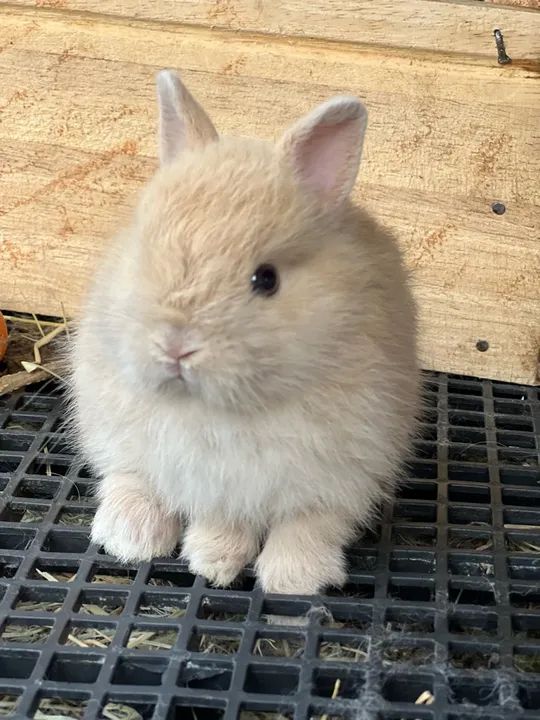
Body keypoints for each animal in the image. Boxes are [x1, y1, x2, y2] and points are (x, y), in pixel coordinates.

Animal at [68, 69, 420, 595]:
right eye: (146, 251)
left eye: (266, 279)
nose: (176, 346)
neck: (220, 410)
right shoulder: (215, 482)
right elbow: (221, 518)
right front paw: (213, 562)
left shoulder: (340, 474)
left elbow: (309, 522)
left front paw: (292, 579)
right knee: (128, 477)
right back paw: (131, 538)